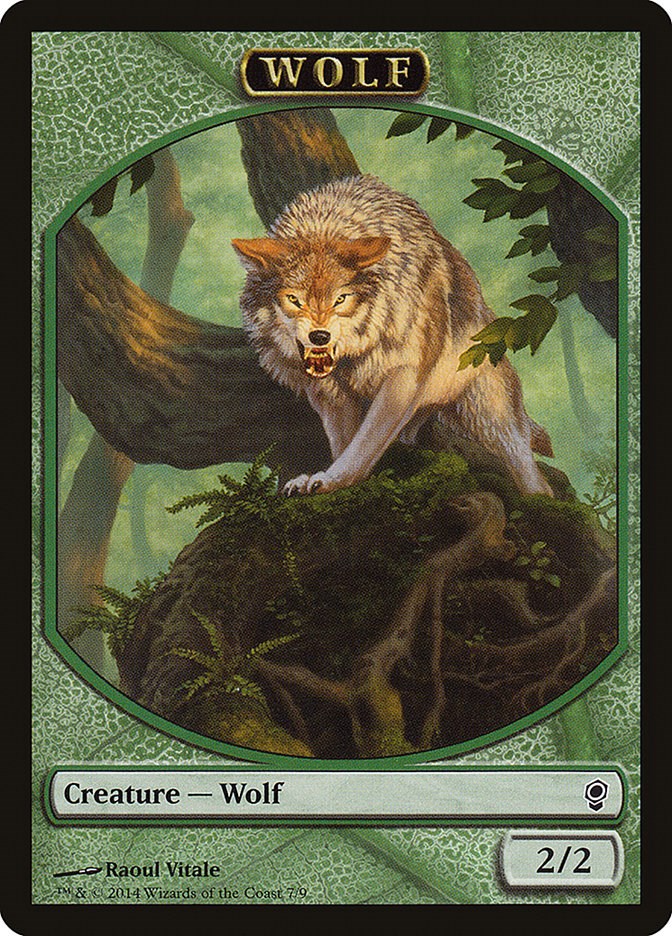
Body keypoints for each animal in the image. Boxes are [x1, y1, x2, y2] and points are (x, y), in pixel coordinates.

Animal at [232, 174, 553, 497]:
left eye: (341, 299)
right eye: (294, 300)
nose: (319, 336)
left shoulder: (403, 376)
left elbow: (365, 442)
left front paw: (336, 479)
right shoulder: (329, 394)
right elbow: (345, 441)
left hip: (491, 420)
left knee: (532, 474)